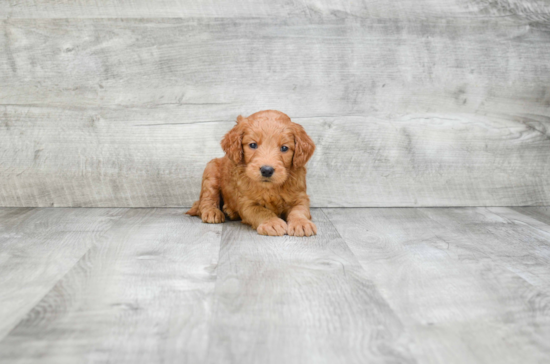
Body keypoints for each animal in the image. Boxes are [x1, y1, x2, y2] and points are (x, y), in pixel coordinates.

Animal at [187, 109, 320, 237]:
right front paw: (272, 223)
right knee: (207, 198)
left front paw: (302, 223)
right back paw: (212, 212)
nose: (267, 170)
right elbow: (261, 211)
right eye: (252, 145)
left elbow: (299, 210)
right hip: (211, 170)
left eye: (284, 148)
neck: (270, 189)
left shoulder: (300, 197)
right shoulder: (246, 203)